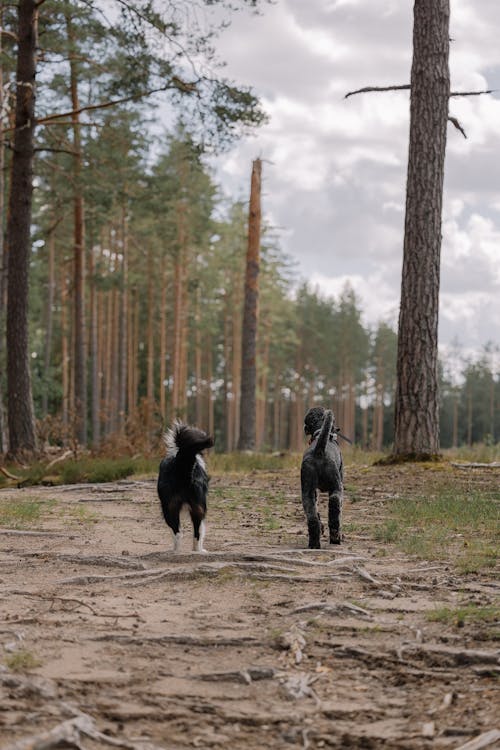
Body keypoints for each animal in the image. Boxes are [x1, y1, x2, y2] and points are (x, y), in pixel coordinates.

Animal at [157, 420, 214, 556]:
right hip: (195, 507)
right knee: (195, 533)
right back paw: (197, 550)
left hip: (171, 507)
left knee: (179, 532)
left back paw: (176, 551)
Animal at [300, 408, 344, 548]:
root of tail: (319, 451)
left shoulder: (314, 491)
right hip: (337, 488)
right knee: (335, 507)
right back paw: (336, 537)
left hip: (307, 491)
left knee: (312, 517)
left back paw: (314, 543)